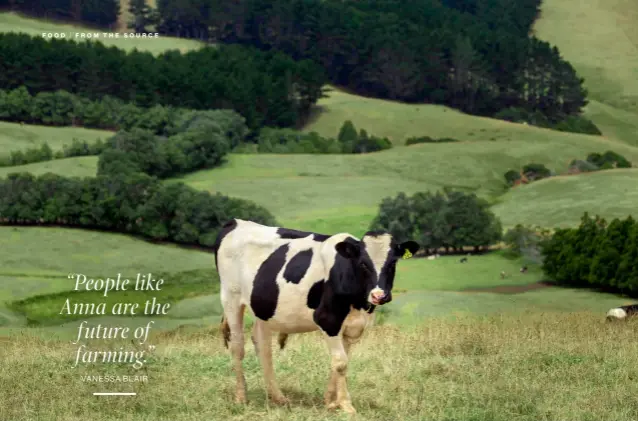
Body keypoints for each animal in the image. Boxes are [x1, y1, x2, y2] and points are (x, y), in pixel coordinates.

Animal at [212, 220, 420, 414]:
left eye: (393, 263)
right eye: (363, 264)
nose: (379, 295)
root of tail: (237, 222)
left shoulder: (353, 327)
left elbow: (341, 361)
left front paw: (330, 401)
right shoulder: (328, 320)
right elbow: (341, 363)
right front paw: (346, 405)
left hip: (263, 308)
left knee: (262, 346)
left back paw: (278, 397)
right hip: (231, 298)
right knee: (237, 347)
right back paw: (241, 397)